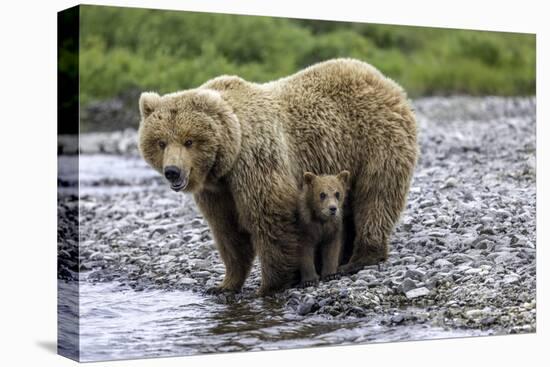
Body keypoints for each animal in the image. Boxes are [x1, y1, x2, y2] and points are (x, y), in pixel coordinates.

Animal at [138, 58, 418, 296]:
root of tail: (386, 81)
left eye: (189, 141)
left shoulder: (255, 161)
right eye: (161, 142)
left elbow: (269, 217)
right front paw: (224, 284)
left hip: (374, 141)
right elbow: (227, 232)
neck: (227, 156)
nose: (172, 171)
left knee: (376, 197)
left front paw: (270, 285)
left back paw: (361, 257)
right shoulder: (217, 191)